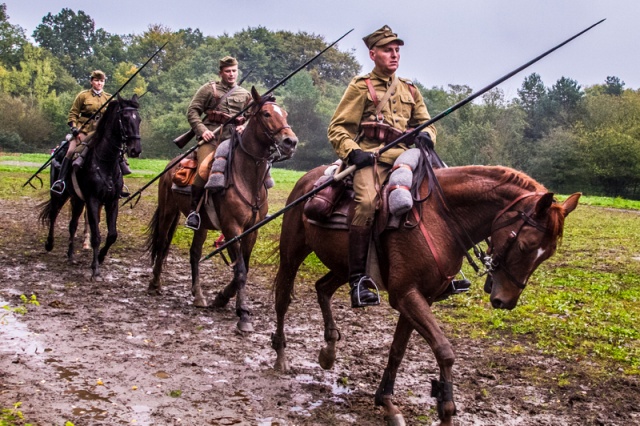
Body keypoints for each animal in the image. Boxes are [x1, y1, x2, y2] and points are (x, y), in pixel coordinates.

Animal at [41, 93, 144, 280]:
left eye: (138, 119)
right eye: (125, 118)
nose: (135, 150)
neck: (105, 162)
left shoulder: (111, 202)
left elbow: (112, 235)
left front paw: (101, 257)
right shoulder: (93, 201)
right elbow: (96, 235)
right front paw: (95, 268)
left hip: (77, 200)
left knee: (72, 225)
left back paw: (71, 255)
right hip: (60, 195)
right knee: (53, 215)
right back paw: (49, 244)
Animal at [145, 87, 298, 332]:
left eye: (284, 114)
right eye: (266, 114)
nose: (290, 142)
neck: (247, 177)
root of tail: (171, 164)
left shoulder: (251, 231)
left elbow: (242, 268)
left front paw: (222, 298)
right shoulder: (232, 228)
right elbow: (241, 271)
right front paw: (243, 315)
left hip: (201, 225)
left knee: (194, 253)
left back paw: (198, 295)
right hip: (168, 211)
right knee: (161, 243)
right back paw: (155, 284)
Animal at [270, 165, 580, 426]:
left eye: (549, 253)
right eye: (526, 245)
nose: (505, 300)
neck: (439, 218)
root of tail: (308, 178)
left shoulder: (420, 298)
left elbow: (397, 350)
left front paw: (387, 402)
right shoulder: (407, 295)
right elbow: (444, 350)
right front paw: (446, 410)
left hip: (344, 267)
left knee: (322, 288)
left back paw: (329, 350)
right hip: (292, 255)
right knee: (282, 300)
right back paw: (281, 357)